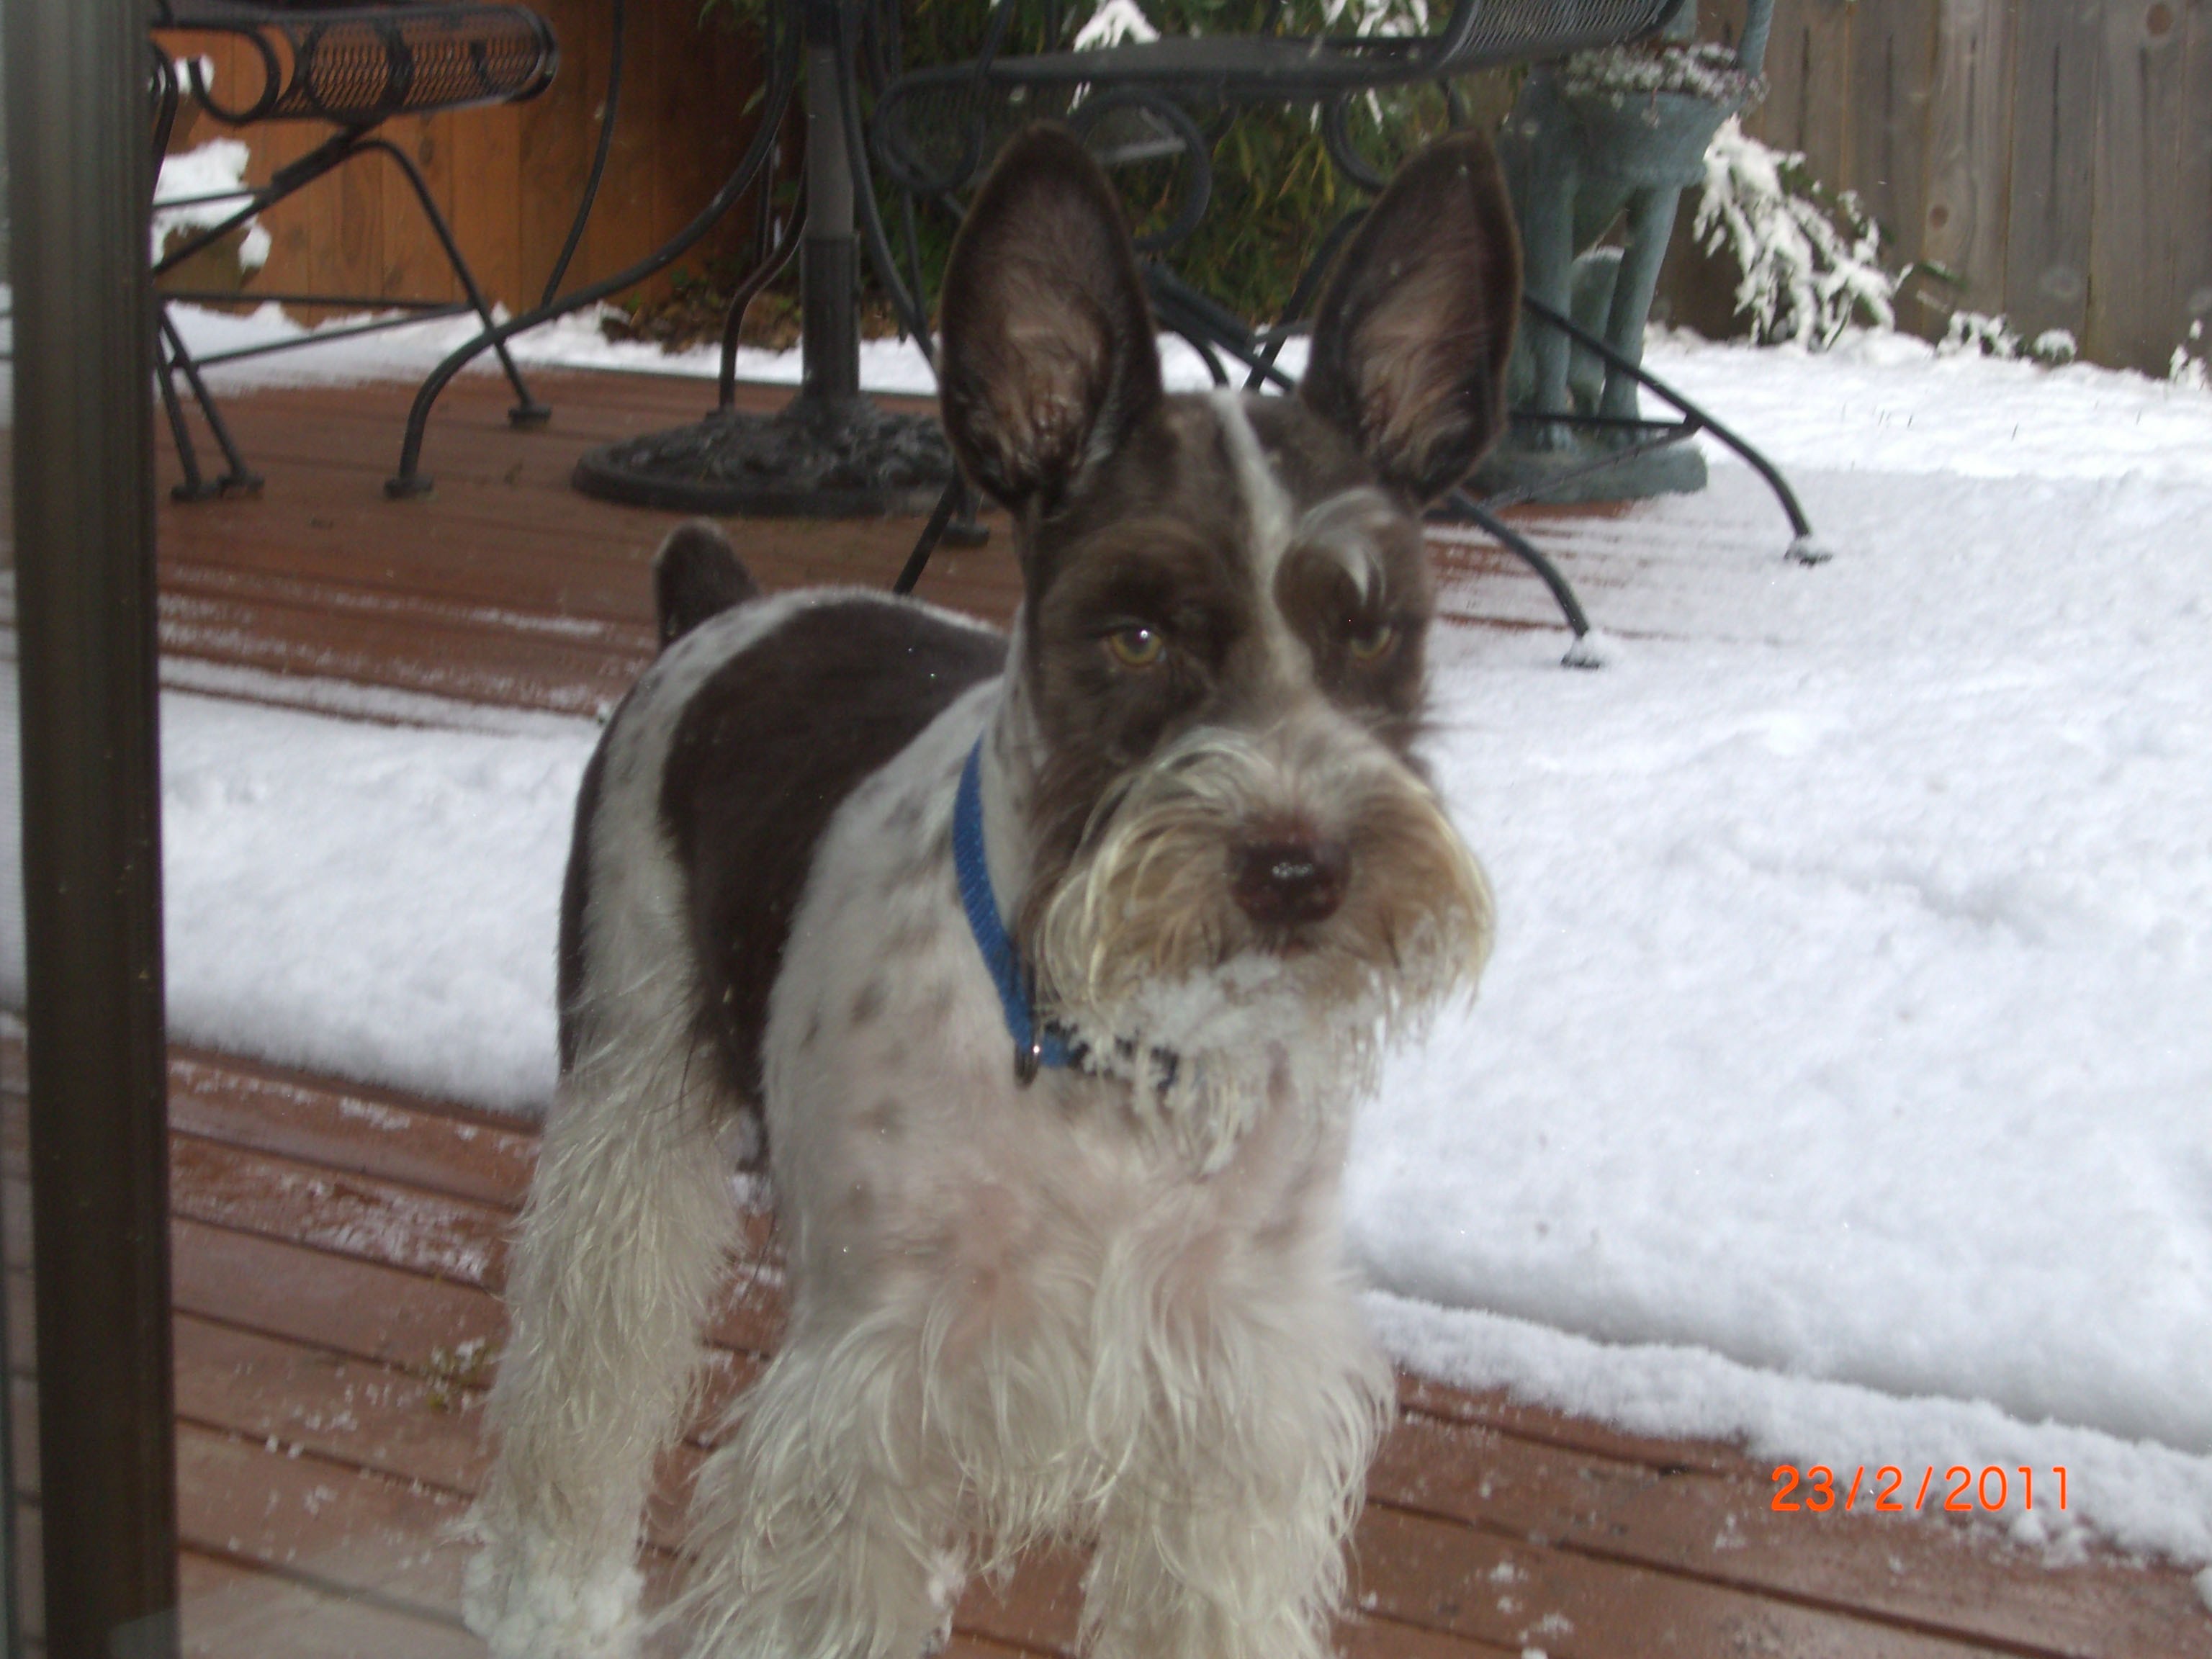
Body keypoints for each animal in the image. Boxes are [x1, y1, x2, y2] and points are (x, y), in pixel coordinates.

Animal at [469, 126, 1521, 1659]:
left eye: (1375, 628)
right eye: (1133, 631)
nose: (1296, 867)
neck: (1113, 1057)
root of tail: (717, 601)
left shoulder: (1234, 1380)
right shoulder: (861, 1391)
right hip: (630, 1078)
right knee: (584, 1340)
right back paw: (550, 1586)